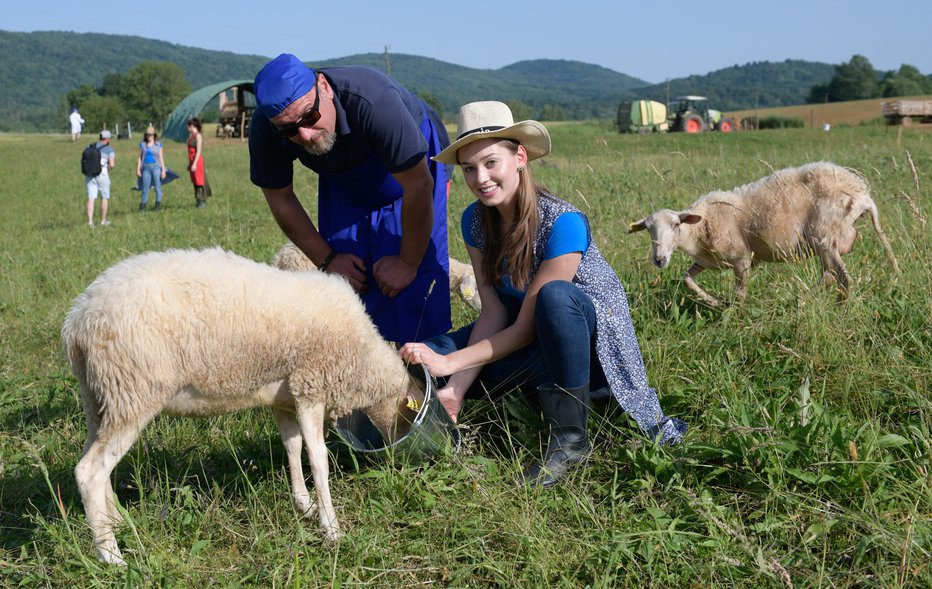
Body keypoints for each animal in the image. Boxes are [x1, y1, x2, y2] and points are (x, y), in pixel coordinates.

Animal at [67, 246, 424, 564]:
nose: (399, 462)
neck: (363, 361)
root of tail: (78, 321)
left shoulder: (285, 399)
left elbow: (292, 447)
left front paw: (304, 504)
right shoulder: (310, 387)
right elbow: (318, 459)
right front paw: (332, 528)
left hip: (99, 399)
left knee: (95, 462)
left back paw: (115, 522)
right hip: (133, 392)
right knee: (89, 472)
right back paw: (111, 555)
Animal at [628, 162, 900, 306]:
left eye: (676, 225)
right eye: (648, 229)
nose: (659, 259)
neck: (700, 227)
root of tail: (862, 194)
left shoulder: (742, 259)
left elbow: (740, 294)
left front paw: (732, 317)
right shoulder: (707, 261)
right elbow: (688, 278)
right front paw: (714, 301)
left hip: (825, 237)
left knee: (843, 279)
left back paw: (833, 307)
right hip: (824, 244)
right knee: (830, 277)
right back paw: (803, 299)